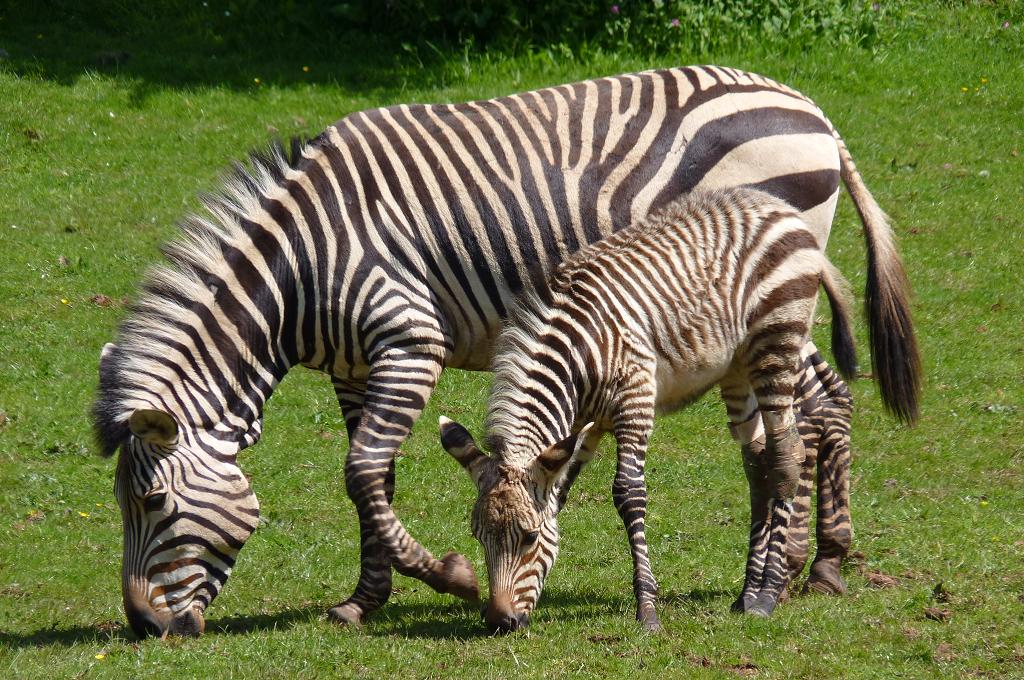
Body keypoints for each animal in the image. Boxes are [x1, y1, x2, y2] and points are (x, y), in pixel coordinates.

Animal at [438, 186, 916, 632]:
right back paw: (747, 592)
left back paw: (768, 593)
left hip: (777, 344)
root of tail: (776, 206)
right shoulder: (587, 423)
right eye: (478, 536)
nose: (499, 622)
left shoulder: (634, 402)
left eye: (527, 538)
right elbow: (562, 489)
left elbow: (628, 493)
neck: (578, 356)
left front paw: (647, 610)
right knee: (758, 466)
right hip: (737, 370)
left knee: (786, 457)